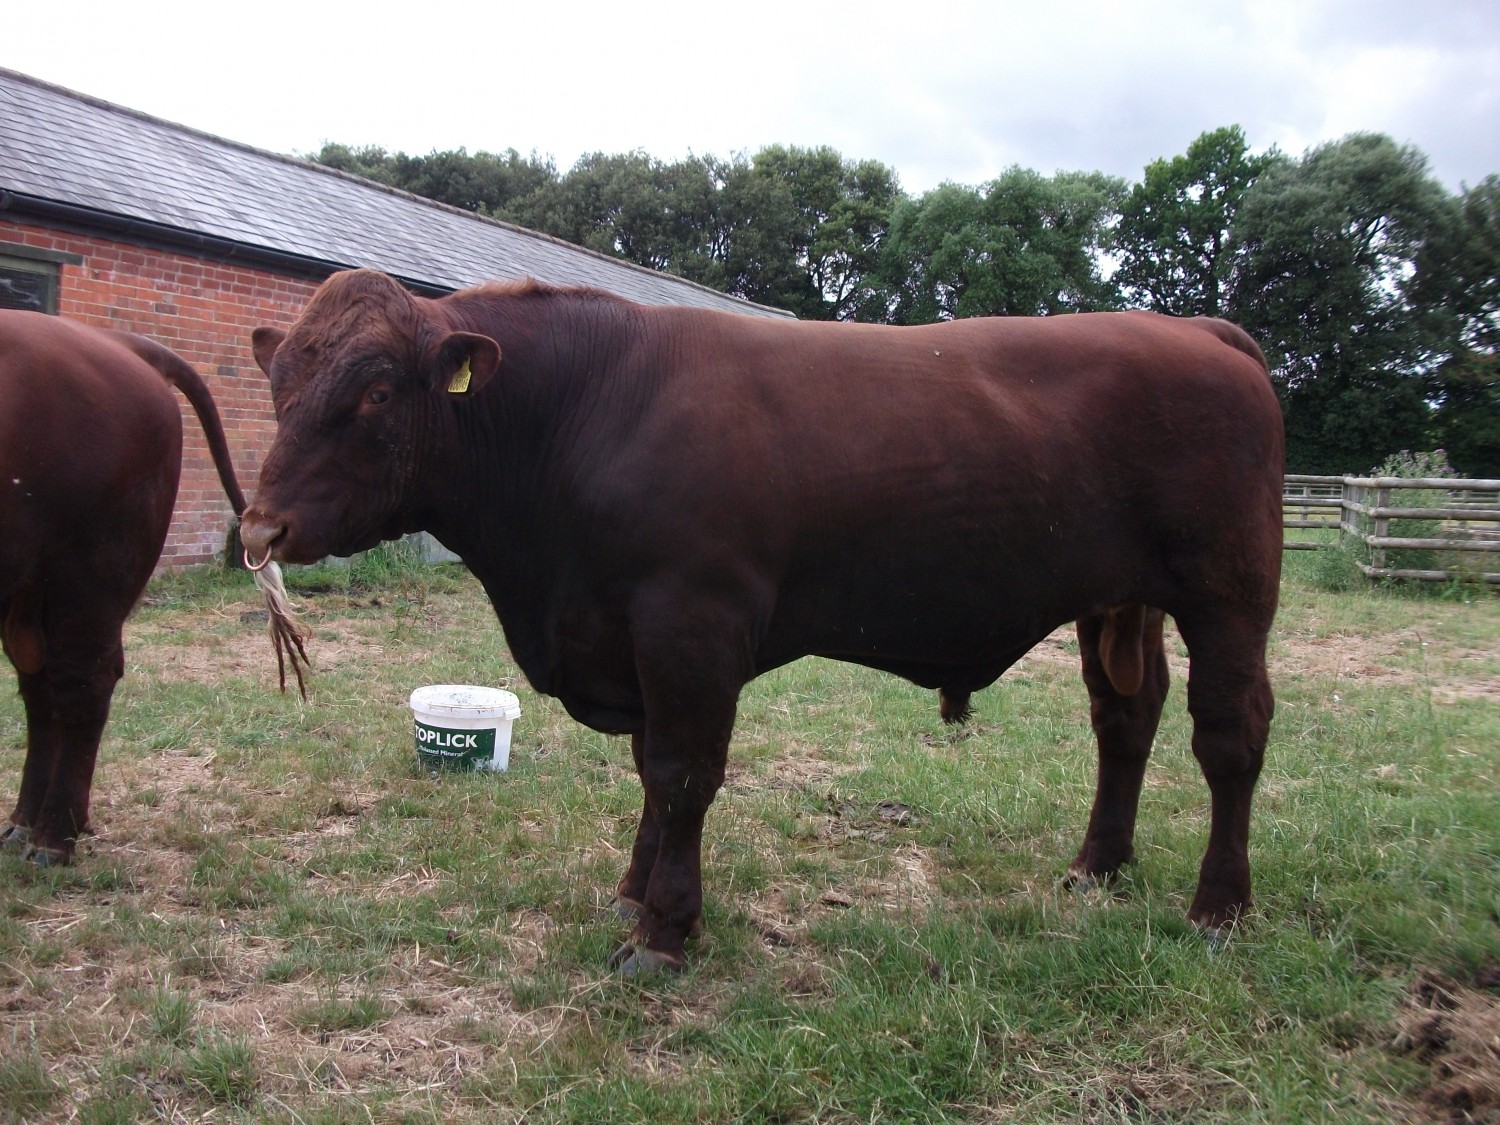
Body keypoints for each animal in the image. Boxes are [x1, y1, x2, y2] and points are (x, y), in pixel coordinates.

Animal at [0, 313, 276, 865]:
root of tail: (120, 343)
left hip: (91, 568)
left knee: (82, 681)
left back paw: (52, 839)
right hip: (35, 588)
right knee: (42, 687)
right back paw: (25, 823)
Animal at [240, 268, 1284, 974]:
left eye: (376, 390)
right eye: (281, 384)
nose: (260, 526)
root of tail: (1200, 330)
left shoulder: (690, 624)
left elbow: (683, 774)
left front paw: (665, 929)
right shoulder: (629, 638)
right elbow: (651, 773)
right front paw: (632, 895)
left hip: (1229, 589)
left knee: (1229, 733)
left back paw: (1219, 908)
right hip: (1121, 596)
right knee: (1126, 719)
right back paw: (1097, 867)